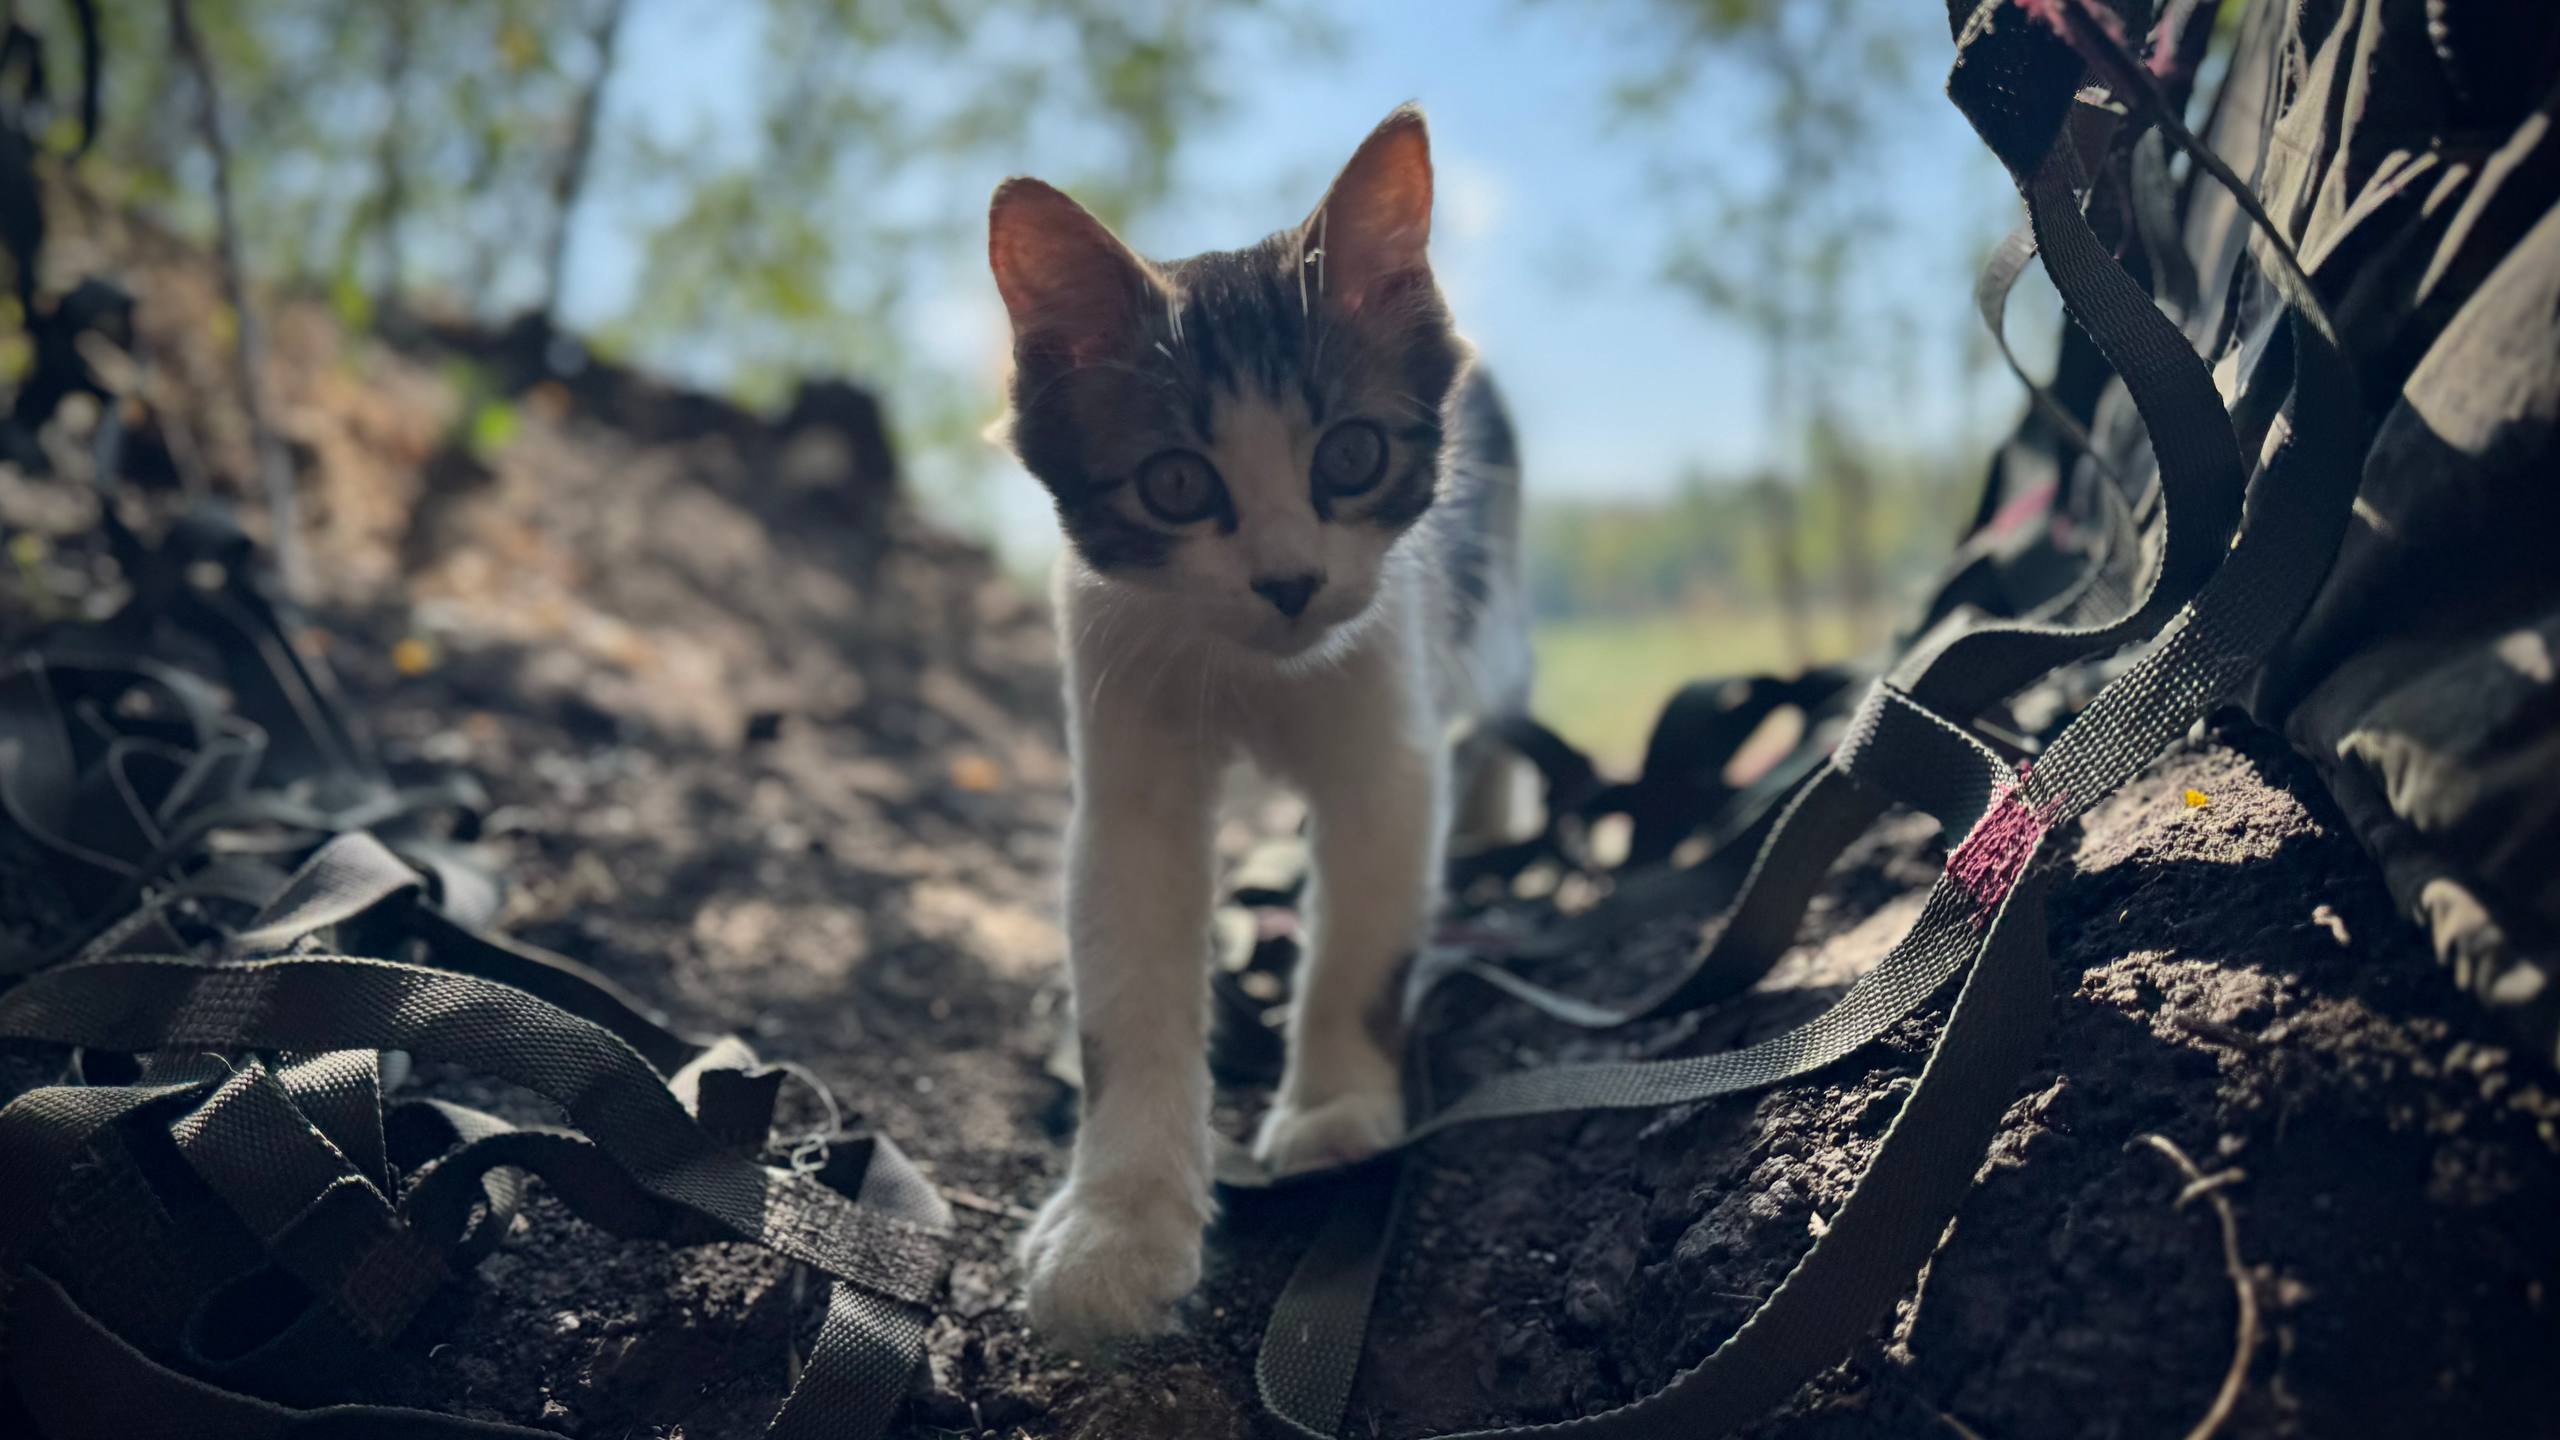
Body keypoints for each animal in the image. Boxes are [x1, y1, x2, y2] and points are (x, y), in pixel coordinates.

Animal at [986, 103, 1530, 1350]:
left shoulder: (1390, 718)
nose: (1288, 582)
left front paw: (1332, 1105)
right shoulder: (1124, 750)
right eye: (1176, 484)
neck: (1253, 672)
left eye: (1351, 455)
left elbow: (1364, 930)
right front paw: (1117, 1226)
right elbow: (1126, 986)